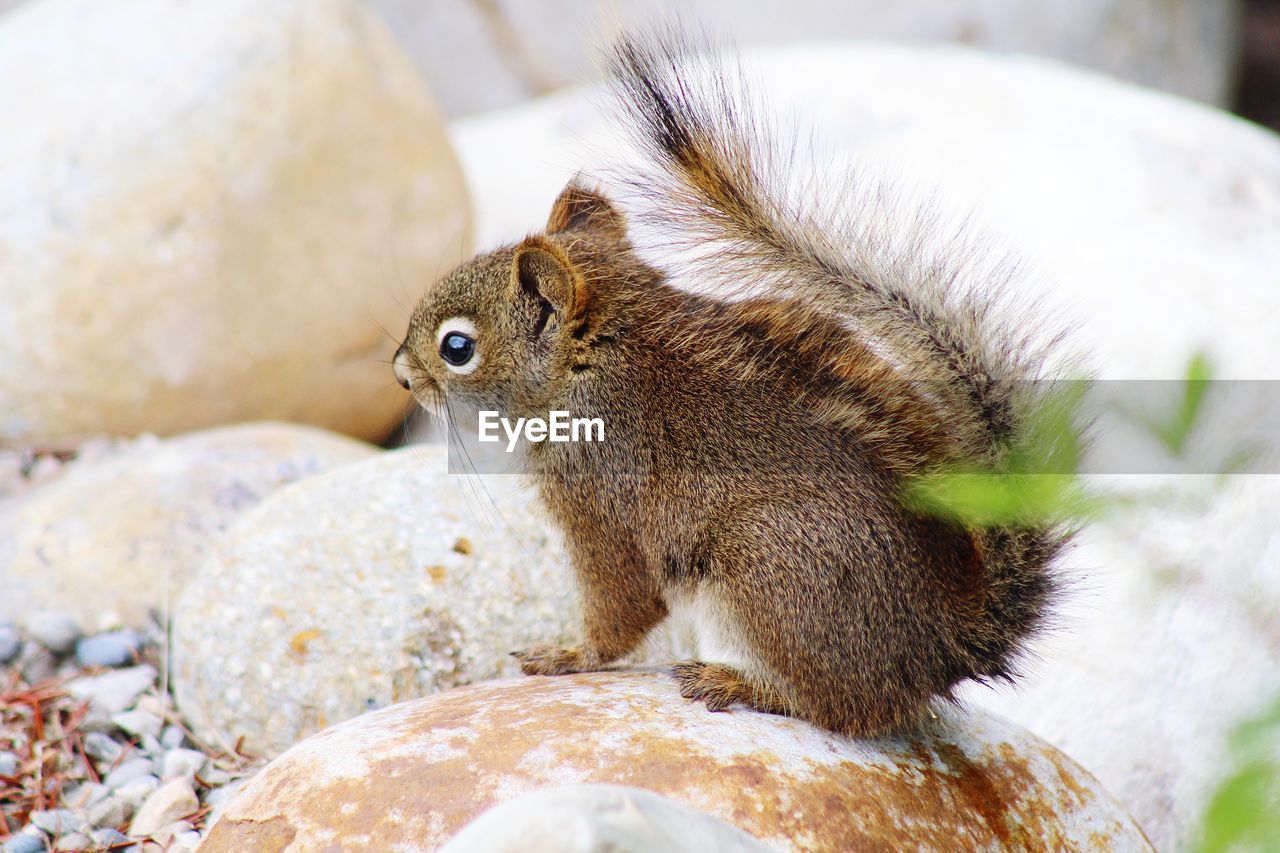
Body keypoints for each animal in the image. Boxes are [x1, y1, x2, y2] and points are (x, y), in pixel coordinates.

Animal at [391, 33, 1070, 732]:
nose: (401, 375)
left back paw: (741, 683)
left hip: (767, 570)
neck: (592, 367)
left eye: (457, 348)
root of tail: (944, 643)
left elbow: (621, 606)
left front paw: (567, 657)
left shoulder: (601, 507)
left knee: (843, 707)